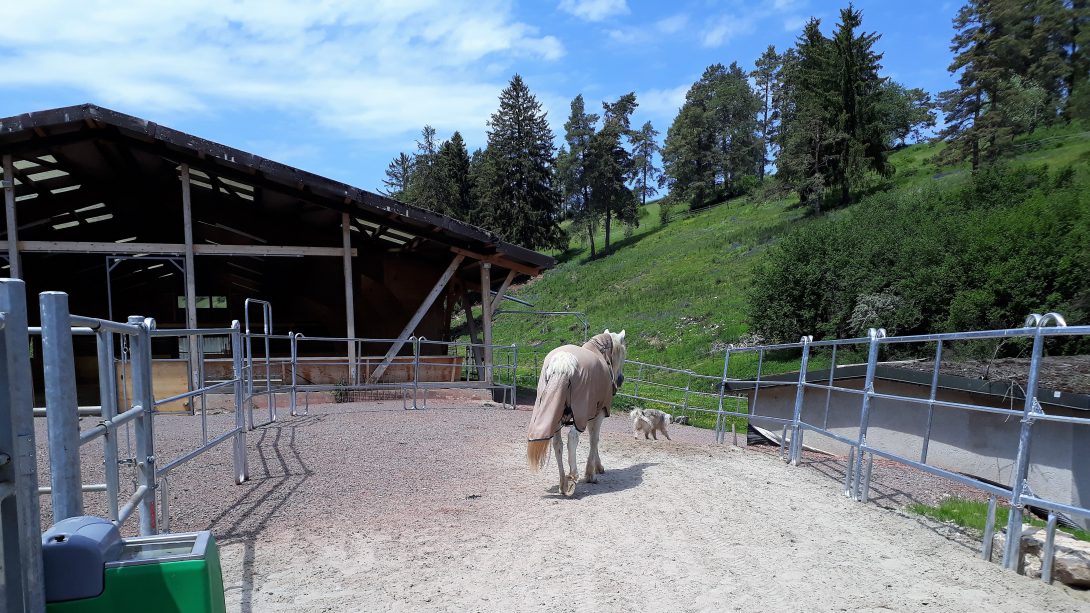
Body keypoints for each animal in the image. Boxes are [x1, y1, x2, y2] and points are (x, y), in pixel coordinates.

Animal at [525, 327, 627, 493]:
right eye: (623, 353)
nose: (620, 379)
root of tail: (563, 362)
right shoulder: (598, 413)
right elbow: (594, 439)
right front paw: (591, 474)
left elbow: (593, 440)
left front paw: (597, 467)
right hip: (580, 416)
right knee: (572, 438)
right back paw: (573, 475)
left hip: (555, 417)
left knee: (557, 444)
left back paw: (563, 483)